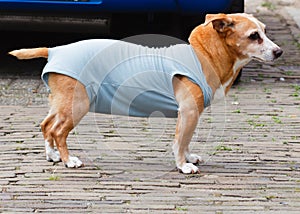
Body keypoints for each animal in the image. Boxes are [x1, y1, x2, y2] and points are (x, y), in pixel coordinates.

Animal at [9, 13, 282, 174]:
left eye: (265, 31)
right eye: (254, 36)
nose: (278, 51)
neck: (203, 54)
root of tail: (54, 49)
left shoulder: (191, 114)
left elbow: (187, 140)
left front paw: (188, 157)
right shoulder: (188, 112)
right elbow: (180, 141)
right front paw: (183, 165)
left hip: (61, 103)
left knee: (46, 125)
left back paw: (52, 155)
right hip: (77, 105)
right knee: (57, 131)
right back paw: (68, 160)